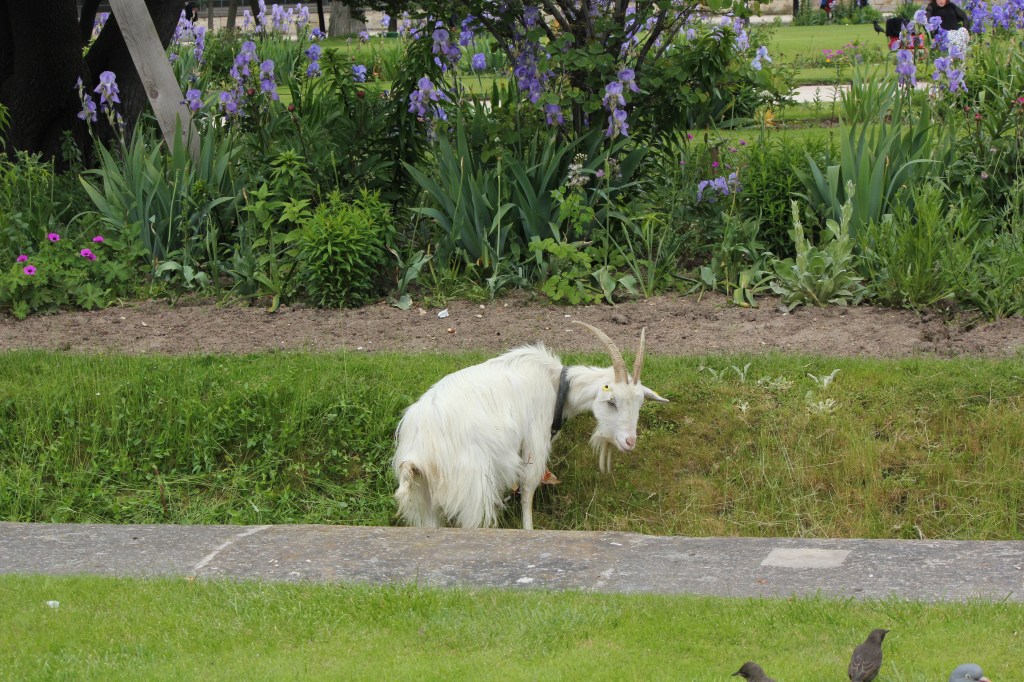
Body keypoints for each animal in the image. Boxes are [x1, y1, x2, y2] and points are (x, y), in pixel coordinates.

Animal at [392, 321, 668, 530]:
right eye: (612, 401)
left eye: (640, 404)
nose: (629, 442)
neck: (556, 384)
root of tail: (418, 453)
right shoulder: (535, 437)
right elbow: (528, 489)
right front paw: (528, 529)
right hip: (472, 489)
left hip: (423, 497)